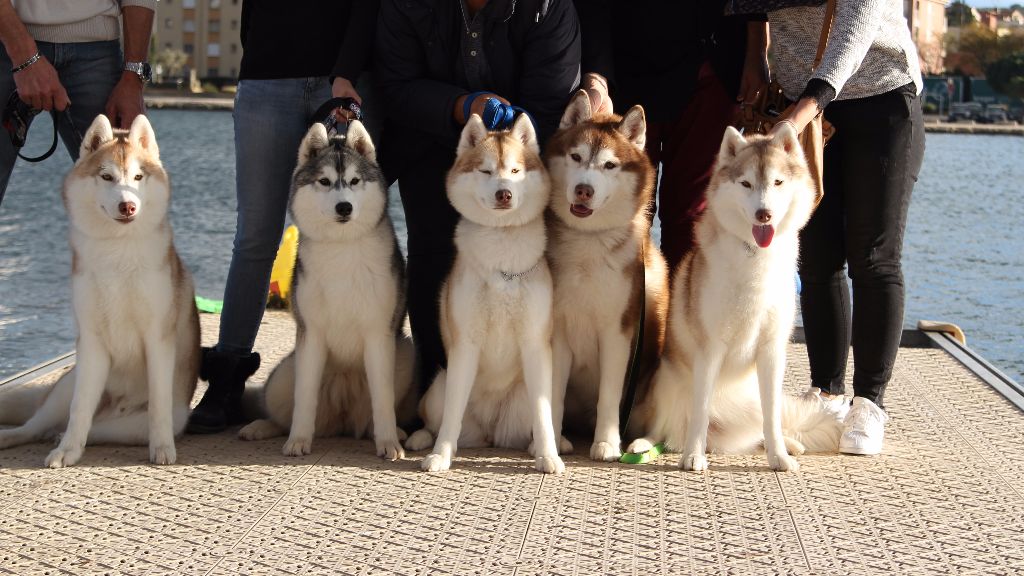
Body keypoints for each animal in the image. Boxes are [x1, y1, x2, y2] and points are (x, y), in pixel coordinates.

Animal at [0, 113, 200, 467]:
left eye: (137, 177)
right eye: (107, 176)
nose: (128, 206)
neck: (116, 253)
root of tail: (113, 409)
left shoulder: (159, 338)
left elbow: (159, 404)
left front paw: (163, 448)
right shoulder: (91, 341)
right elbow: (80, 409)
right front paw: (67, 451)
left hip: (143, 423)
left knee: (99, 428)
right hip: (67, 384)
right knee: (41, 424)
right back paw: (24, 437)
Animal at [237, 119, 413, 457]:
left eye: (355, 180)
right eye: (324, 181)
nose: (344, 207)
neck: (341, 249)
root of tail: (341, 421)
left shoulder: (379, 334)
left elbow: (382, 398)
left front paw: (388, 443)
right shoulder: (311, 334)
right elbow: (304, 397)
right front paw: (298, 440)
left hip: (406, 354)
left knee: (370, 417)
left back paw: (391, 432)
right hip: (283, 375)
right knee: (279, 410)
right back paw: (261, 427)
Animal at [405, 114, 565, 473]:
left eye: (516, 171)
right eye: (486, 171)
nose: (504, 193)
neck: (501, 249)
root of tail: (492, 432)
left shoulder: (535, 343)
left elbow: (543, 414)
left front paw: (548, 455)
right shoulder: (465, 343)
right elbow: (451, 416)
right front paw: (440, 455)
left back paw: (545, 445)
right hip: (439, 385)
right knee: (436, 419)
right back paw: (420, 439)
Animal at [544, 93, 671, 461]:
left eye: (610, 165)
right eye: (576, 157)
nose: (583, 190)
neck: (589, 241)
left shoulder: (619, 331)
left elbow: (610, 396)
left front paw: (606, 442)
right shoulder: (558, 329)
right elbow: (553, 392)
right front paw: (552, 441)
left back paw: (642, 444)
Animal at [630, 123, 839, 469]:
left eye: (777, 182)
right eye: (746, 183)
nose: (764, 214)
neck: (754, 257)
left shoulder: (771, 351)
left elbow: (772, 418)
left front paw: (779, 457)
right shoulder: (710, 348)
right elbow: (700, 410)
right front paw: (693, 457)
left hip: (750, 401)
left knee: (760, 427)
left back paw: (789, 444)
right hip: (665, 380)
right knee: (663, 427)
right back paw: (644, 444)